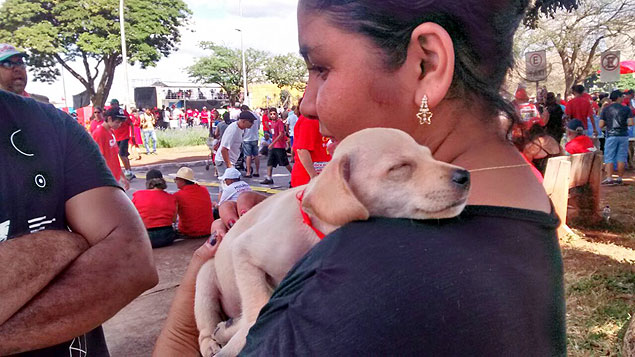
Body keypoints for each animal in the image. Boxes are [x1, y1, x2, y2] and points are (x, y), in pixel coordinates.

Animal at [195, 126, 472, 354]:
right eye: (400, 167)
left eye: (430, 155)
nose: (465, 176)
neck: (315, 229)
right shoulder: (244, 252)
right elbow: (257, 305)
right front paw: (239, 338)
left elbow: (255, 307)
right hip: (205, 283)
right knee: (206, 326)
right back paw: (212, 341)